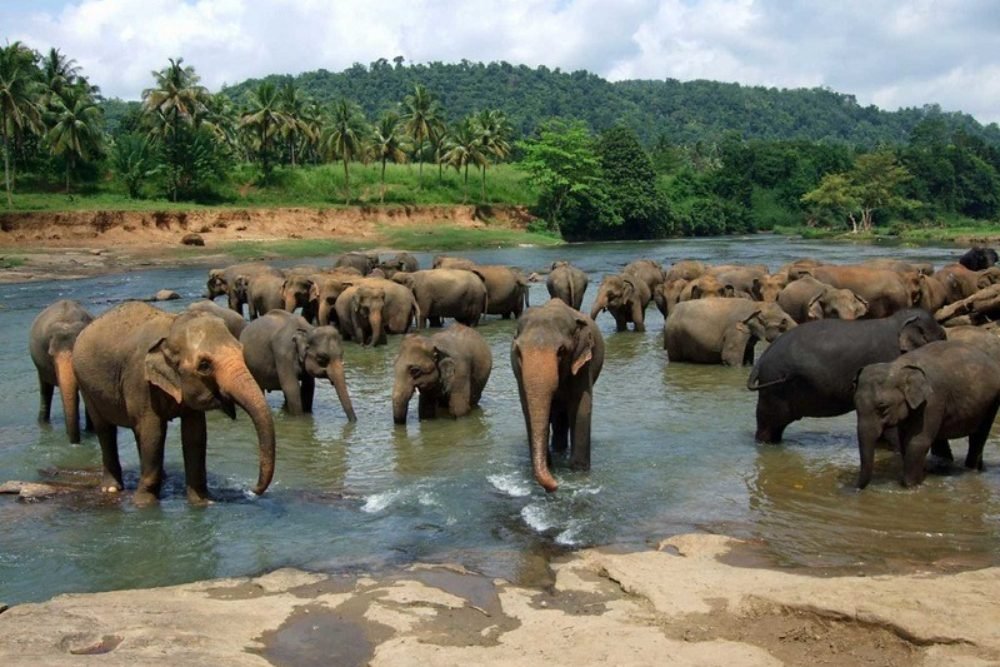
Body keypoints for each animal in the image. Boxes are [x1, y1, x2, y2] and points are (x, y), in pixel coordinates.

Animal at [72, 302, 276, 504]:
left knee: (137, 433)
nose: (253, 490)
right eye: (204, 365)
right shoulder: (139, 381)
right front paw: (144, 503)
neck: (172, 326)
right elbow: (153, 433)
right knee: (105, 430)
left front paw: (202, 502)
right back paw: (111, 488)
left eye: (241, 351)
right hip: (85, 386)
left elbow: (195, 435)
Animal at [512, 299, 604, 493]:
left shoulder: (583, 364)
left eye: (562, 350)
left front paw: (578, 473)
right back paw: (557, 450)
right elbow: (527, 409)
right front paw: (549, 466)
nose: (555, 485)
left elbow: (581, 406)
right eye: (518, 352)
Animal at [664, 298, 796, 365]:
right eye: (783, 324)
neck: (756, 305)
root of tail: (671, 313)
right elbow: (730, 357)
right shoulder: (735, 331)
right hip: (673, 336)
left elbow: (748, 358)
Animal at [854, 340, 1000, 488]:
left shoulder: (932, 401)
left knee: (979, 437)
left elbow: (917, 442)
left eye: (883, 407)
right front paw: (921, 477)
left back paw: (972, 469)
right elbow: (905, 440)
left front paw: (910, 485)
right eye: (855, 405)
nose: (857, 488)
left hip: (991, 403)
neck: (900, 366)